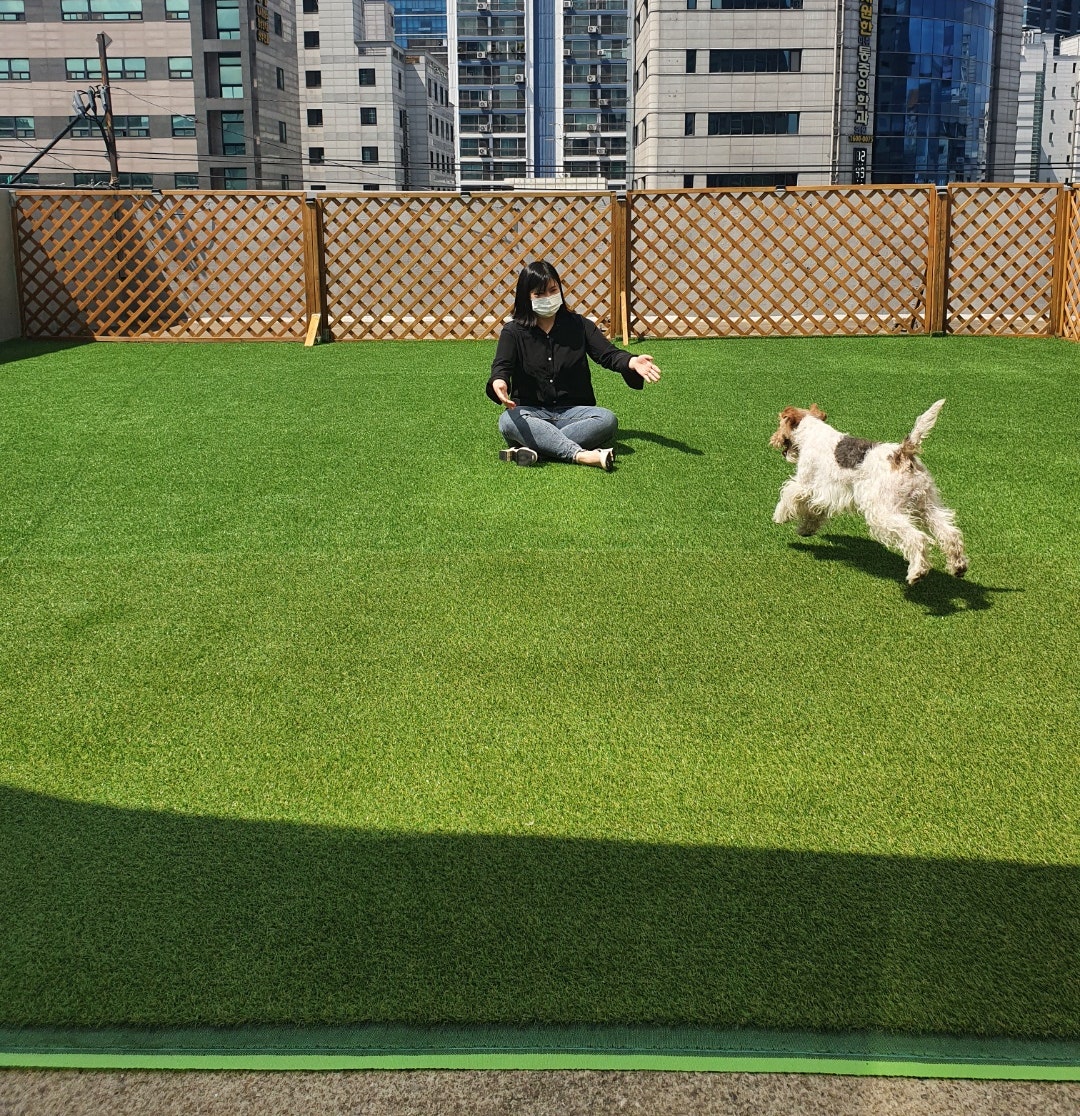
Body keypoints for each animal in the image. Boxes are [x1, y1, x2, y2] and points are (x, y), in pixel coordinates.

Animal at [769, 400, 967, 585]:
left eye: (780, 422)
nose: (773, 439)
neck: (811, 433)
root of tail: (902, 453)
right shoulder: (825, 493)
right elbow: (814, 512)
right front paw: (805, 529)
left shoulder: (806, 484)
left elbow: (788, 494)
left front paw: (780, 516)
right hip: (926, 504)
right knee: (950, 534)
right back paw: (958, 566)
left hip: (883, 511)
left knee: (917, 538)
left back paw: (917, 572)